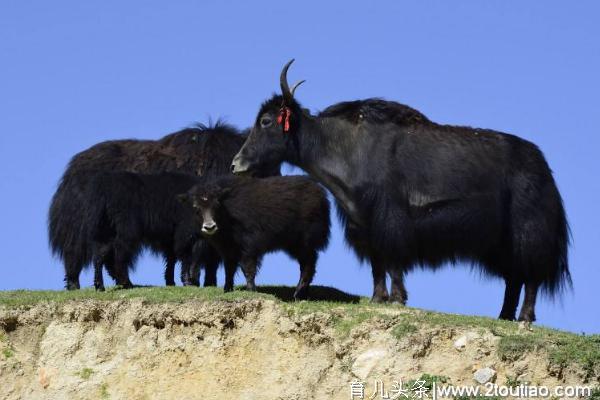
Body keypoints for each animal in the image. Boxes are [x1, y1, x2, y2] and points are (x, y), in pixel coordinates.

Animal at [180, 176, 330, 300]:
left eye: (216, 205)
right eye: (196, 208)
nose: (209, 227)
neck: (228, 212)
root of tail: (321, 193)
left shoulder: (248, 247)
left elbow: (247, 268)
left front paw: (251, 290)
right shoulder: (228, 249)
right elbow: (230, 269)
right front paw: (227, 290)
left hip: (303, 243)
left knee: (308, 265)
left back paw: (298, 294)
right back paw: (303, 294)